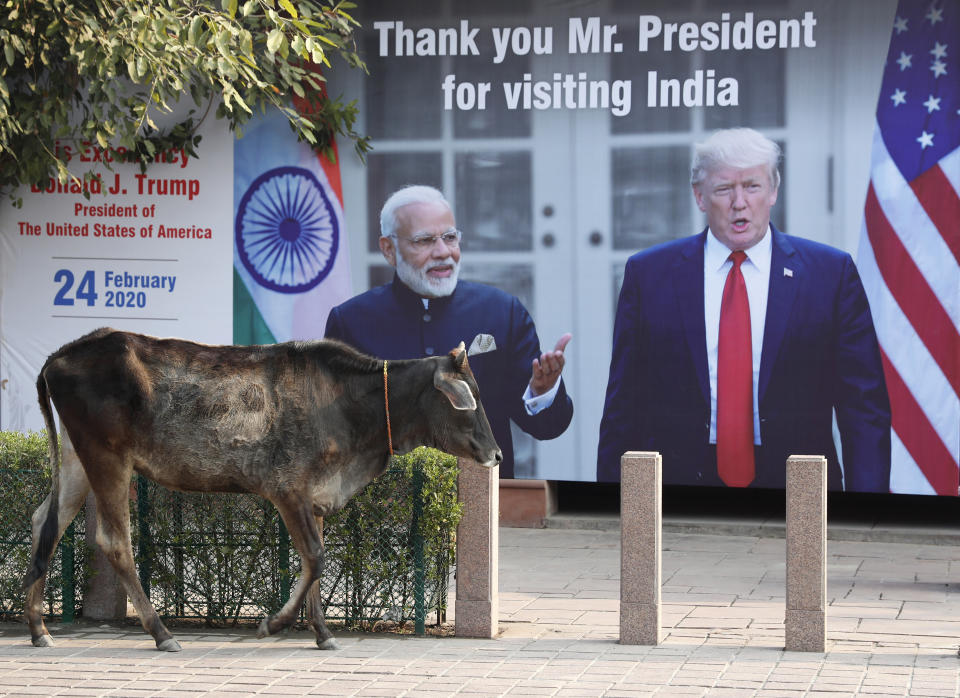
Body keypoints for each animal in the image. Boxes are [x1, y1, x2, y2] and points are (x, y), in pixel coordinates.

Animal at [22, 324, 502, 648]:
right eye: (469, 400)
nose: (496, 455)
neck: (351, 406)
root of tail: (62, 354)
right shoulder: (287, 489)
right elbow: (316, 559)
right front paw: (273, 623)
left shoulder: (316, 498)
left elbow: (313, 564)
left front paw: (322, 633)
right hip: (108, 458)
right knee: (114, 541)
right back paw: (161, 633)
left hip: (77, 458)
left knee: (46, 522)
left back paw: (38, 627)